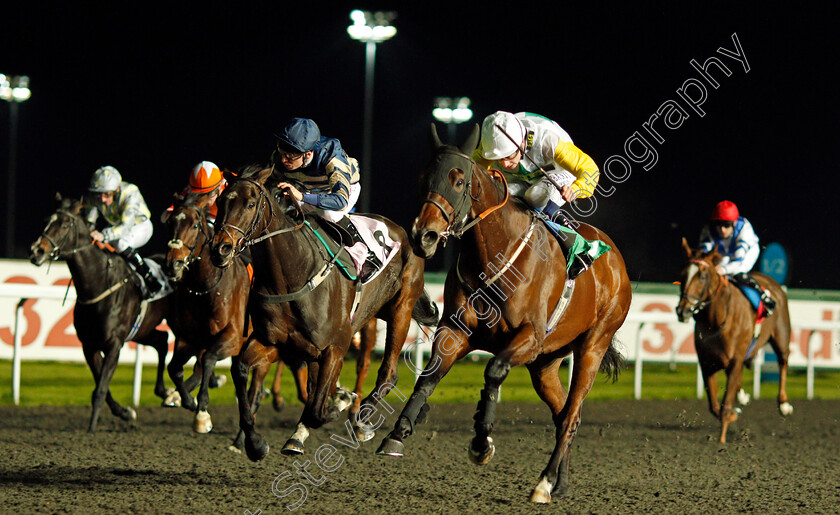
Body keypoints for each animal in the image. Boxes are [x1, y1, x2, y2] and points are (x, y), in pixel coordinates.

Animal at [28, 196, 171, 434]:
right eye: (47, 220)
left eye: (64, 225)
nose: (36, 251)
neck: (99, 285)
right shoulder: (89, 345)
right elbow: (102, 387)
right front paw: (125, 412)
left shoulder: (114, 344)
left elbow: (101, 389)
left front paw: (92, 428)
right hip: (142, 329)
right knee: (162, 340)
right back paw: (167, 392)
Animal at [162, 191, 306, 438]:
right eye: (171, 223)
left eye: (194, 225)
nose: (173, 264)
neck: (205, 288)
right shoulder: (188, 339)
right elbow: (175, 368)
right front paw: (186, 399)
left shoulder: (233, 338)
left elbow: (208, 359)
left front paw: (202, 413)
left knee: (255, 393)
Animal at [210, 166, 440, 464]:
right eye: (220, 202)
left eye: (250, 204)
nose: (220, 249)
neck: (292, 275)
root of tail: (401, 230)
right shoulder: (275, 343)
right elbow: (240, 370)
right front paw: (255, 443)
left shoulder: (335, 346)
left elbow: (318, 409)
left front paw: (341, 403)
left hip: (401, 308)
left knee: (388, 373)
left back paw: (362, 422)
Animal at [374, 125, 632, 504]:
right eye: (423, 178)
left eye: (458, 179)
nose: (425, 235)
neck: (496, 254)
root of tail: (616, 261)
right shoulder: (456, 331)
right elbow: (429, 376)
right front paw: (398, 431)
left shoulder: (528, 337)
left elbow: (494, 371)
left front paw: (482, 440)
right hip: (546, 363)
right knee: (563, 414)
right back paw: (561, 482)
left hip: (592, 346)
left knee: (571, 415)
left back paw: (544, 483)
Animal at [672, 238, 792, 444]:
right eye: (682, 274)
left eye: (702, 276)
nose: (683, 311)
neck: (715, 320)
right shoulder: (707, 363)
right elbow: (714, 406)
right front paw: (733, 413)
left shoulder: (735, 360)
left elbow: (725, 405)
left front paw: (722, 439)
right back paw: (742, 396)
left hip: (781, 336)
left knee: (783, 361)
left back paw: (783, 404)